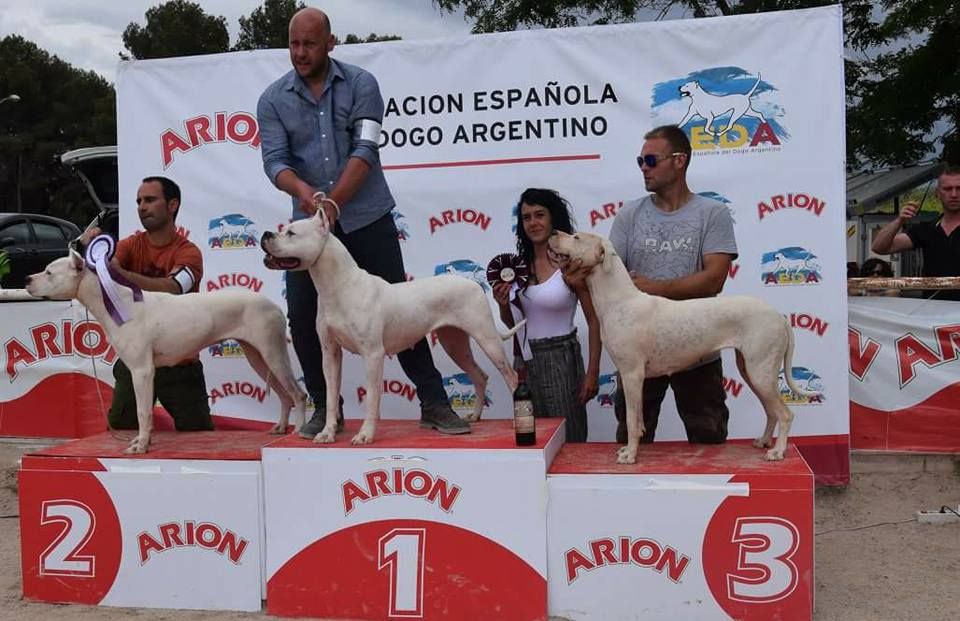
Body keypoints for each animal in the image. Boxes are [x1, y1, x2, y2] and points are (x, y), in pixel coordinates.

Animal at [25, 249, 304, 452]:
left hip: (273, 353)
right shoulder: (144, 371)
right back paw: (280, 427)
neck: (116, 302)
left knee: (298, 394)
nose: (27, 279)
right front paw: (144, 441)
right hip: (259, 357)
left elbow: (142, 411)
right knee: (285, 395)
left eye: (49, 272)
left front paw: (140, 446)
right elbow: (146, 412)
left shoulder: (141, 370)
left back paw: (298, 433)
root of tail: (273, 304)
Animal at [258, 208, 520, 446]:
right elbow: (331, 397)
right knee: (479, 375)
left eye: (291, 233)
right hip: (455, 343)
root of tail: (474, 284)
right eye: (284, 229)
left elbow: (373, 397)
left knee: (511, 375)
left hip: (486, 338)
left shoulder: (373, 354)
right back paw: (474, 416)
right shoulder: (330, 353)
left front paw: (365, 434)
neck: (338, 287)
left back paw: (516, 420)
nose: (266, 234)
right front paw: (327, 433)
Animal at [548, 232, 816, 464]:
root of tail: (779, 316)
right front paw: (629, 449)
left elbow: (632, 421)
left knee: (785, 414)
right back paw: (764, 441)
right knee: (771, 411)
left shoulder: (632, 374)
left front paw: (630, 455)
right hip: (752, 371)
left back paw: (778, 451)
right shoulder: (631, 377)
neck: (619, 300)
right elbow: (639, 420)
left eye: (576, 237)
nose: (553, 233)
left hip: (760, 371)